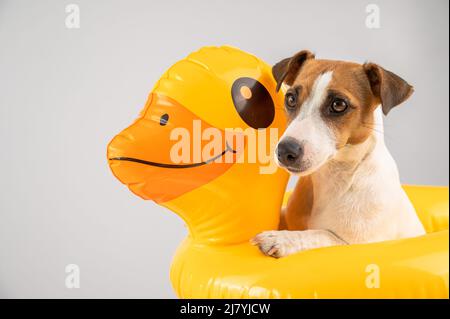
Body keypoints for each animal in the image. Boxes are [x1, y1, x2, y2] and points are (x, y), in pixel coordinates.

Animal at [253, 51, 426, 258]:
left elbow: (321, 234)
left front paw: (282, 239)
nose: (285, 150)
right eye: (291, 98)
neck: (334, 178)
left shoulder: (356, 244)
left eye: (338, 104)